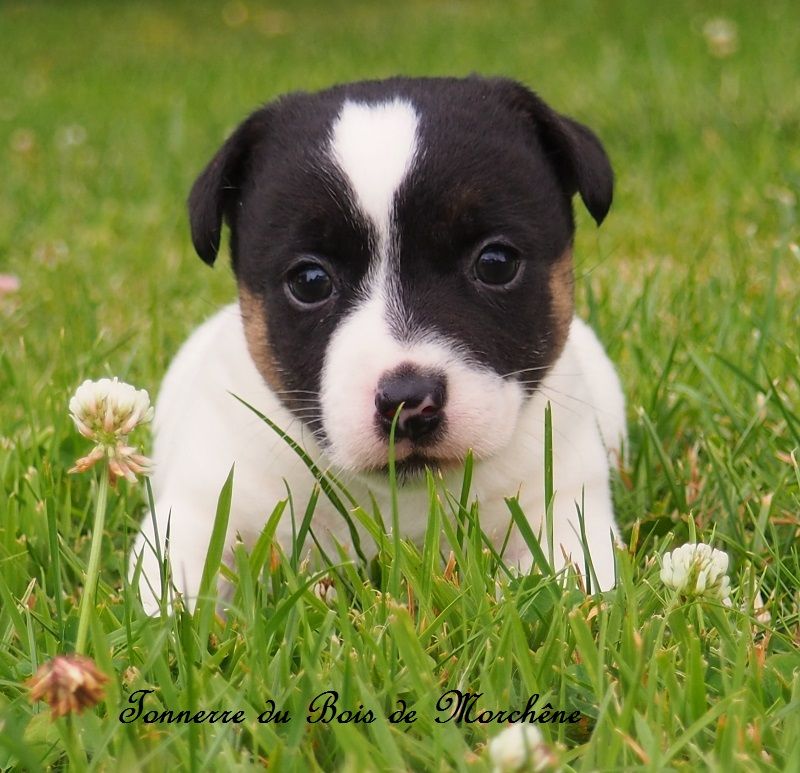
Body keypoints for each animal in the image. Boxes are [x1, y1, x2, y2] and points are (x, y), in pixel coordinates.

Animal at [131, 75, 628, 612]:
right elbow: (170, 592)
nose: (409, 403)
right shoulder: (201, 510)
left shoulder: (563, 510)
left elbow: (568, 584)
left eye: (495, 263)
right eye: (309, 281)